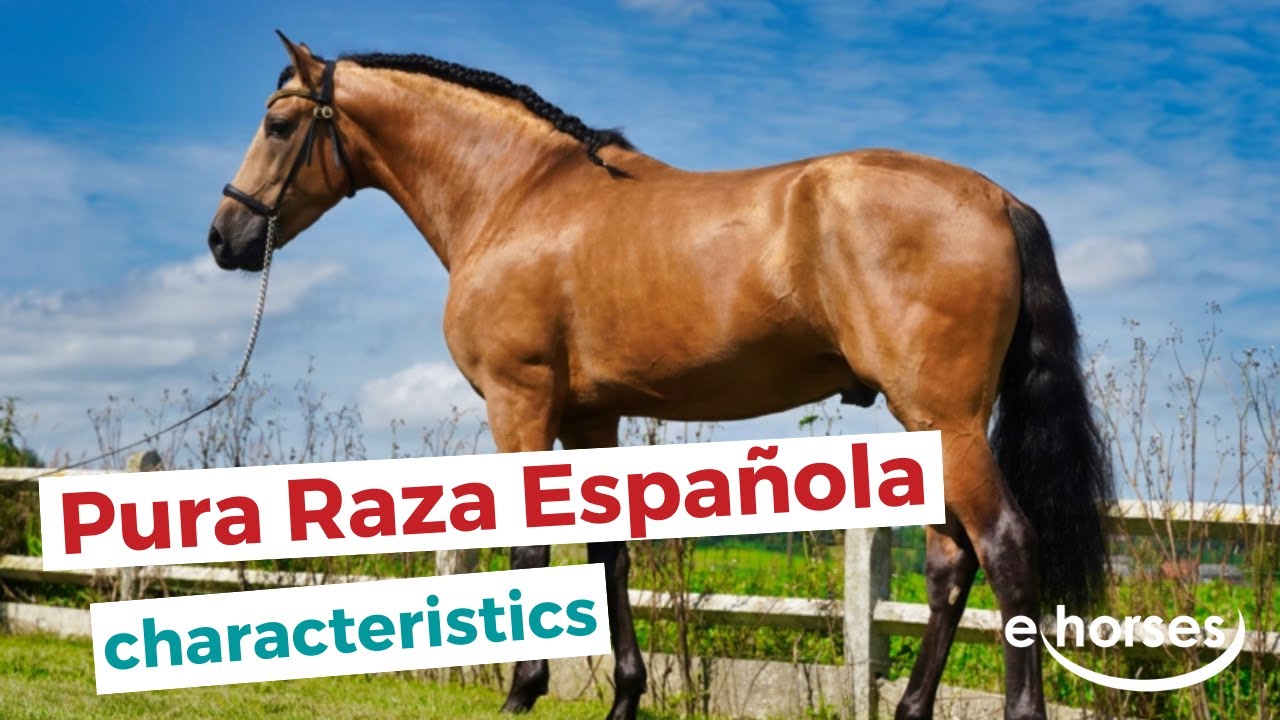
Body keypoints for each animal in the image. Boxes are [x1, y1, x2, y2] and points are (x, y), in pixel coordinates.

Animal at [208, 33, 1113, 720]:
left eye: (278, 124)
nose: (224, 238)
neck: (516, 197)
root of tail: (999, 200)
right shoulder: (590, 417)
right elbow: (609, 552)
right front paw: (623, 697)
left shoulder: (519, 402)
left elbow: (531, 546)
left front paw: (521, 693)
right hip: (932, 426)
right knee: (950, 564)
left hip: (944, 419)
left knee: (1006, 546)